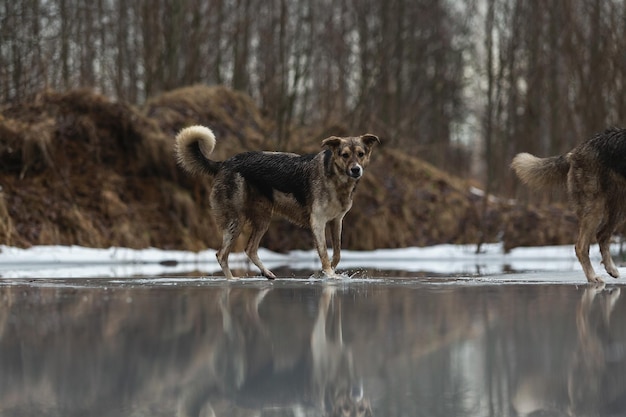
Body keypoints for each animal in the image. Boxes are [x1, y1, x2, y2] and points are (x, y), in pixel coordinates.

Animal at [173, 125, 378, 278]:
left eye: (361, 154)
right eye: (345, 155)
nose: (356, 170)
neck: (335, 178)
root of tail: (223, 163)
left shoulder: (336, 221)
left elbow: (337, 253)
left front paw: (328, 272)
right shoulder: (318, 222)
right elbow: (324, 253)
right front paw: (329, 274)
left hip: (263, 218)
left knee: (250, 249)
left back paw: (267, 274)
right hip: (236, 221)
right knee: (222, 254)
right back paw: (232, 280)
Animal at [510, 127, 624, 282]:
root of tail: (575, 151)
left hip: (617, 210)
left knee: (601, 236)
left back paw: (610, 270)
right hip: (595, 210)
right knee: (581, 246)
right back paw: (593, 277)